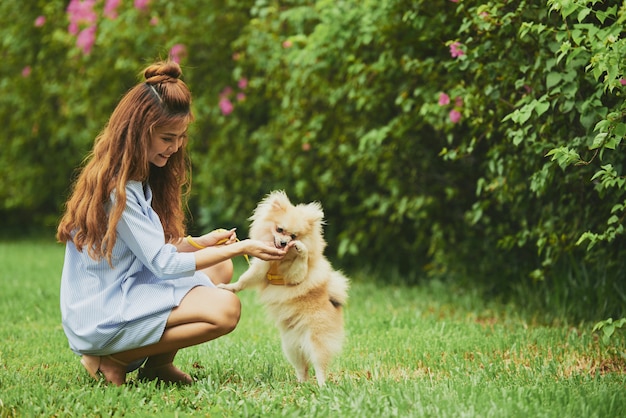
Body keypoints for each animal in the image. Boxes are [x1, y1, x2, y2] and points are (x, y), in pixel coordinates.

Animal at [218, 189, 346, 386]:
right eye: (280, 230)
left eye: (293, 236)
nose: (285, 243)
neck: (278, 261)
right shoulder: (260, 269)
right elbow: (244, 280)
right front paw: (229, 287)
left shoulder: (295, 277)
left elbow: (301, 264)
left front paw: (301, 249)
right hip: (290, 346)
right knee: (302, 367)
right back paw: (301, 383)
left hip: (317, 340)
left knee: (319, 366)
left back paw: (322, 386)